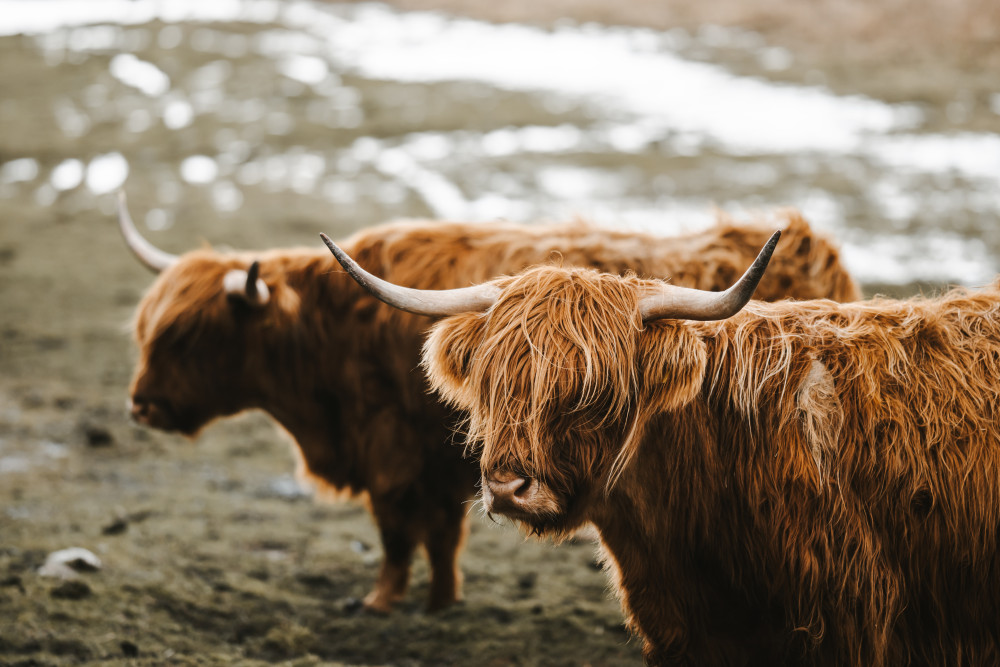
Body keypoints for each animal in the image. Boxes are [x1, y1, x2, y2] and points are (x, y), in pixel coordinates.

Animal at [121, 190, 860, 612]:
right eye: (148, 329)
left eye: (191, 335)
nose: (142, 406)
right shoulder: (440, 467)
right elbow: (442, 538)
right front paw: (442, 602)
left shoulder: (393, 458)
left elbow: (397, 537)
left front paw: (380, 602)